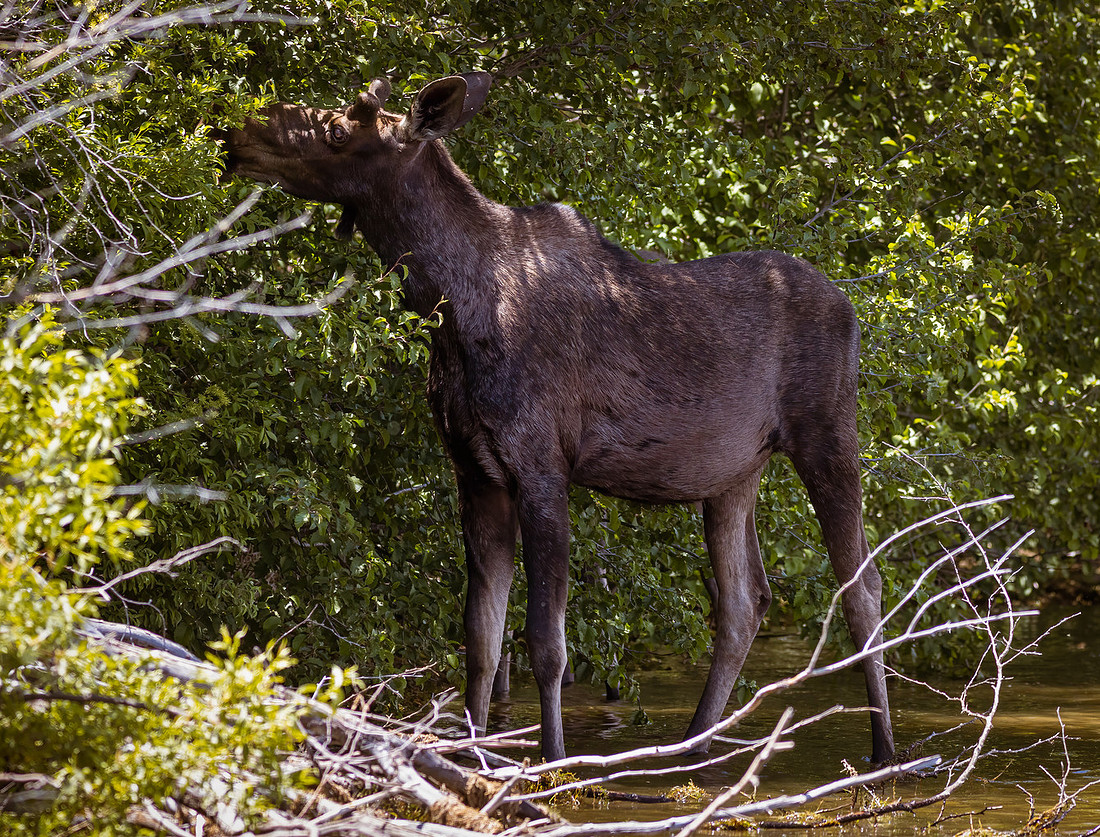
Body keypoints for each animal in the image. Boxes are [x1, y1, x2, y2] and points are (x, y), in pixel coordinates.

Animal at [224, 72, 895, 765]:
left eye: (337, 130)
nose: (236, 134)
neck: (449, 308)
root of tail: (851, 310)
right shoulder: (476, 472)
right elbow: (481, 640)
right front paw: (473, 751)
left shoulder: (542, 465)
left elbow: (546, 643)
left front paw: (552, 758)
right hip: (734, 473)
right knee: (744, 603)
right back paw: (691, 744)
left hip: (828, 433)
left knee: (864, 588)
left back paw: (883, 748)